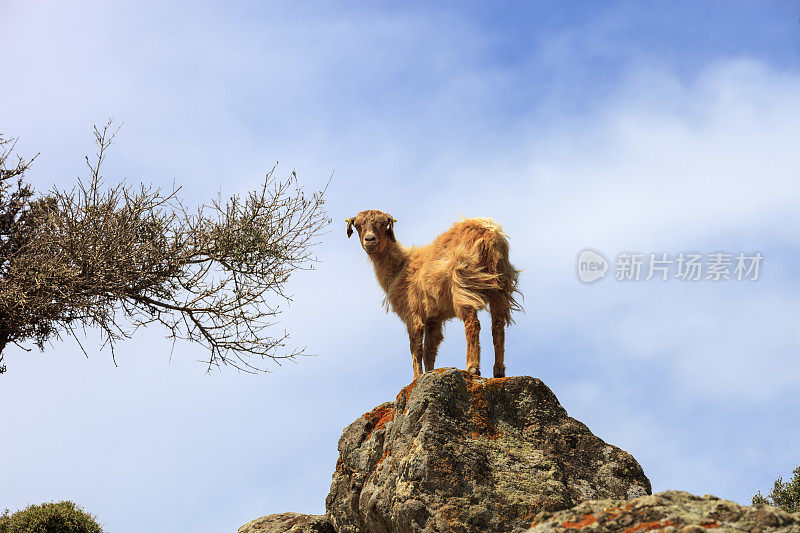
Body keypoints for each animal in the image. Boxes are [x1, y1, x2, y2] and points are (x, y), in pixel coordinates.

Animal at [346, 208, 520, 378]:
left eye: (383, 224)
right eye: (358, 225)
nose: (370, 240)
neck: (401, 267)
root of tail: (489, 232)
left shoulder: (413, 313)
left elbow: (416, 347)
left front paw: (416, 378)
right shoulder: (433, 319)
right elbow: (429, 350)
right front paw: (429, 373)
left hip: (463, 282)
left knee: (473, 323)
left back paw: (472, 368)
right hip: (500, 285)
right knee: (498, 326)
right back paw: (499, 371)